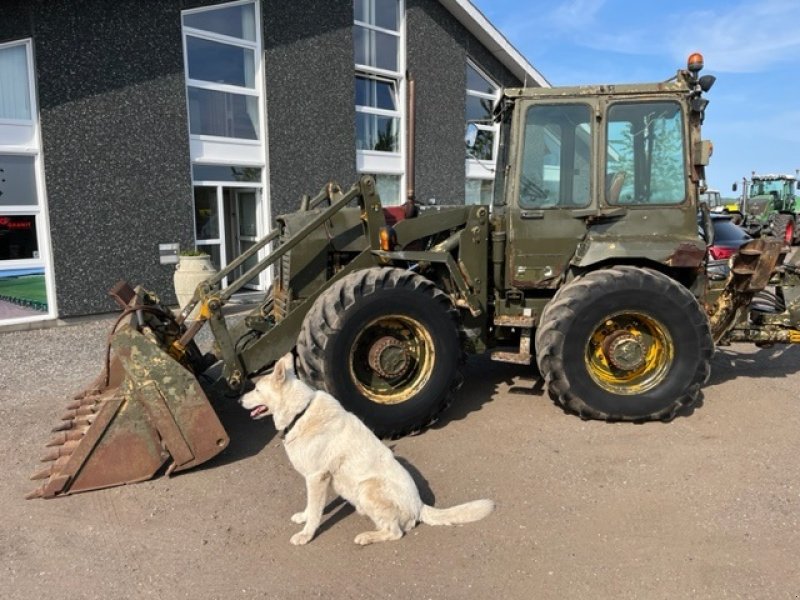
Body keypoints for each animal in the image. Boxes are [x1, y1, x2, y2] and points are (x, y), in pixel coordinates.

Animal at [241, 354, 496, 548]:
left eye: (256, 389)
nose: (239, 400)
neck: (299, 412)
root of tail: (420, 506)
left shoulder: (316, 477)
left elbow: (314, 512)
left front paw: (306, 534)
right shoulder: (315, 479)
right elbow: (310, 507)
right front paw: (302, 518)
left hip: (367, 488)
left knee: (395, 532)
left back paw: (367, 537)